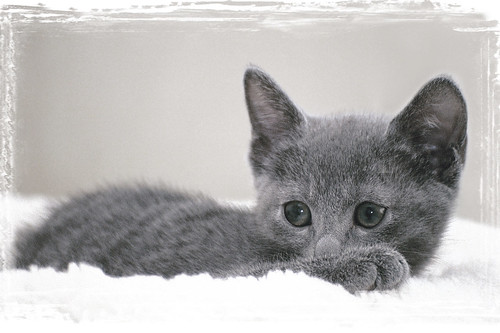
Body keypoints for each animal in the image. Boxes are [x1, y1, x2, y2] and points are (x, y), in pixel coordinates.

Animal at [13, 66, 466, 292]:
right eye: (296, 213)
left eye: (370, 214)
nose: (327, 252)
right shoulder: (211, 275)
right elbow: (281, 272)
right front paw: (359, 264)